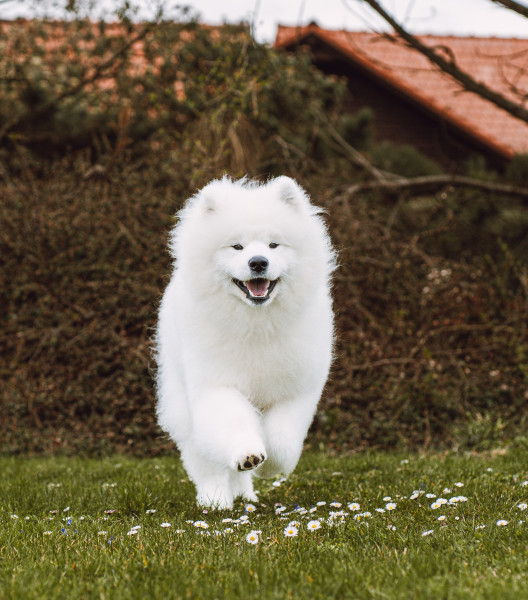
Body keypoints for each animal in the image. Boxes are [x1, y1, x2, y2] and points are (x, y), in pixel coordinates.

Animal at [156, 176, 334, 508]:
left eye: (273, 244)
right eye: (236, 246)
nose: (258, 262)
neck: (257, 323)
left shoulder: (295, 391)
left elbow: (282, 437)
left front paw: (269, 465)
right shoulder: (217, 386)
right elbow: (234, 424)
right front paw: (248, 454)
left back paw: (245, 494)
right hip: (183, 405)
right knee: (205, 462)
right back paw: (215, 500)